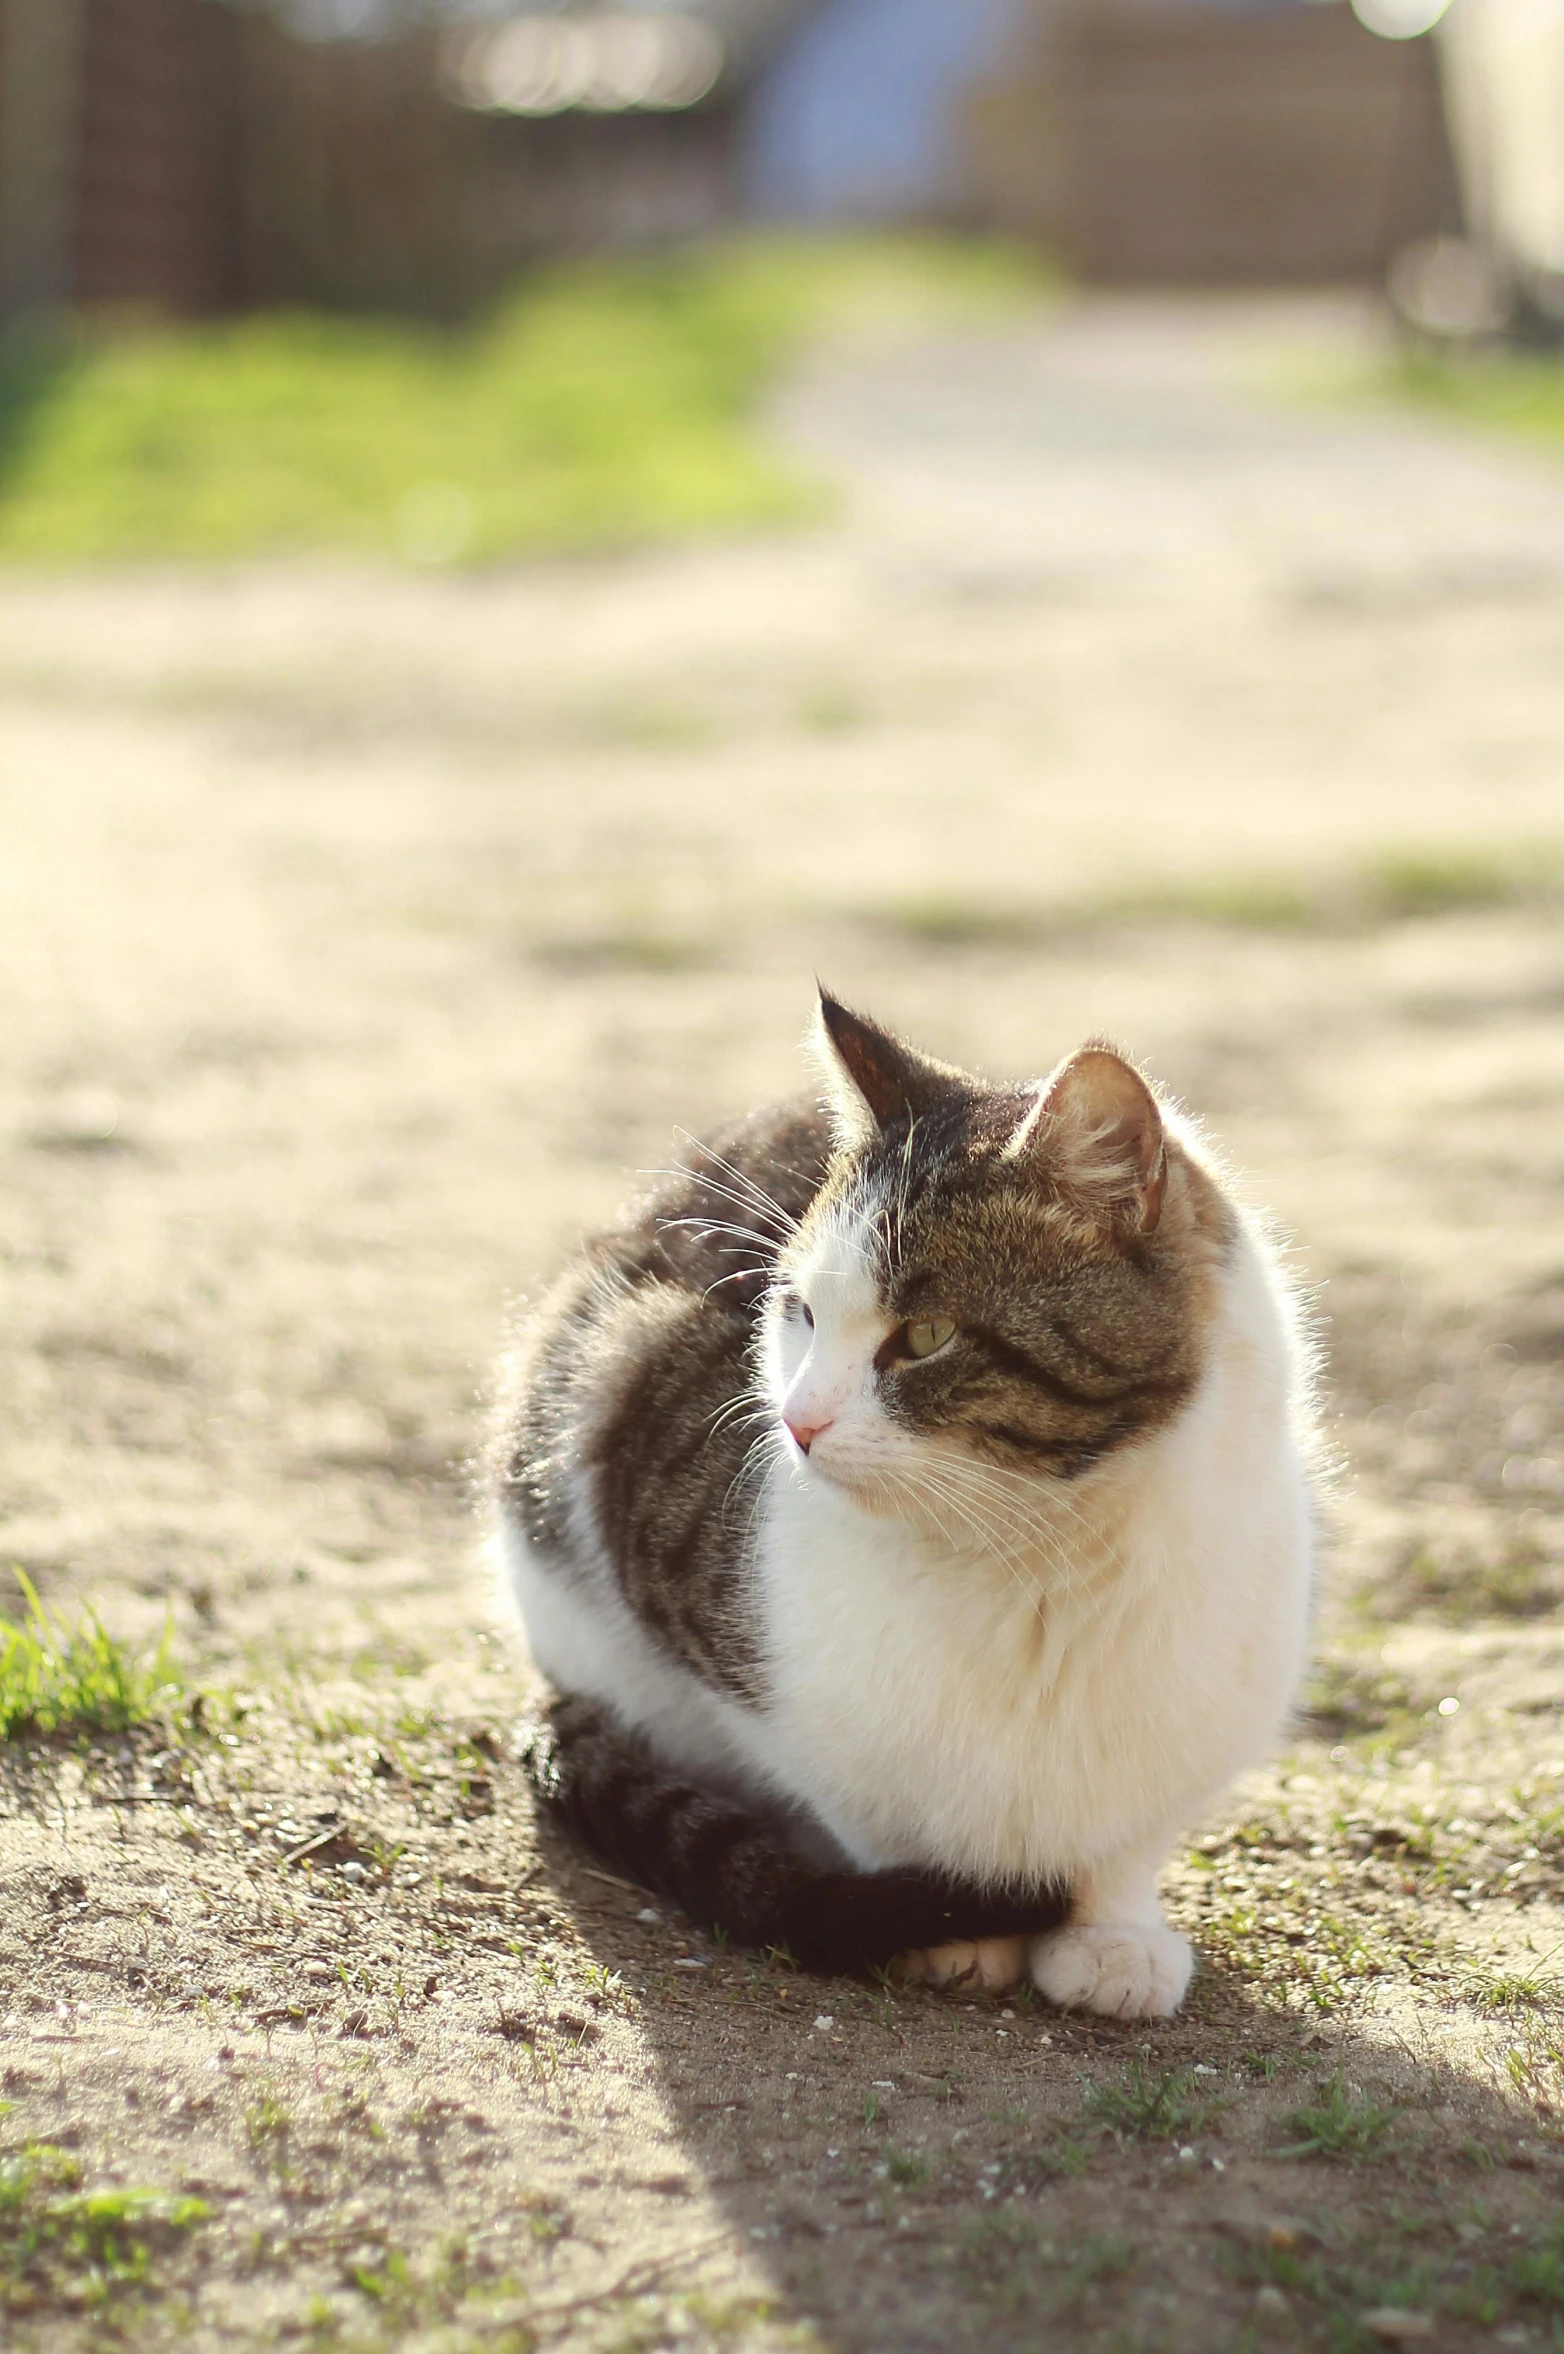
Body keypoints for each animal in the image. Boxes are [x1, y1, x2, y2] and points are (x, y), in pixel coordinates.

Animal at [492, 998, 1319, 2024]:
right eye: (799, 1313)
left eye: (925, 1336)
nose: (795, 1421)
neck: (1041, 1554)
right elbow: (869, 1800)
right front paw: (954, 1924)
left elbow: (1126, 1840)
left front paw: (1111, 1936)